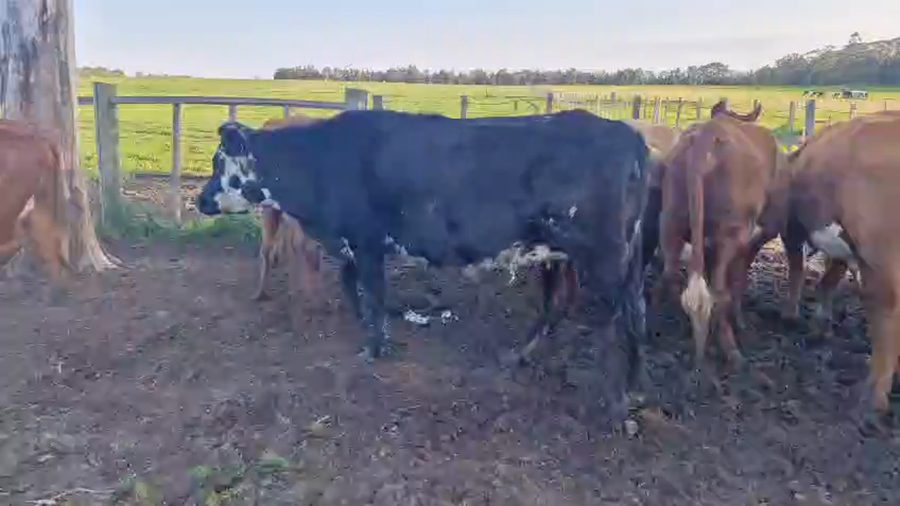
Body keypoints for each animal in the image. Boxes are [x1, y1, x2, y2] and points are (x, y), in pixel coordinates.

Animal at [653, 105, 788, 371]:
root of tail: (707, 134)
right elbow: (738, 278)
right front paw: (740, 321)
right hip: (729, 233)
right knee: (718, 291)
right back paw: (730, 350)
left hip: (669, 222)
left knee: (671, 275)